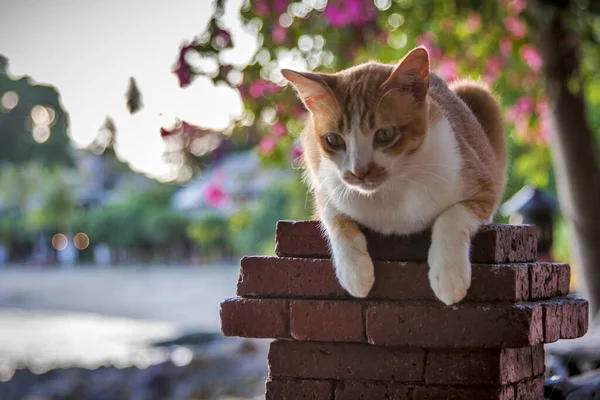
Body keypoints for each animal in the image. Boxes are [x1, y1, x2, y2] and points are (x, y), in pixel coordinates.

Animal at [282, 47, 506, 304]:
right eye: (333, 139)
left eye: (385, 134)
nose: (359, 172)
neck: (392, 191)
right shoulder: (328, 191)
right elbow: (335, 220)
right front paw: (355, 273)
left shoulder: (486, 186)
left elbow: (452, 215)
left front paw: (449, 275)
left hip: (478, 94)